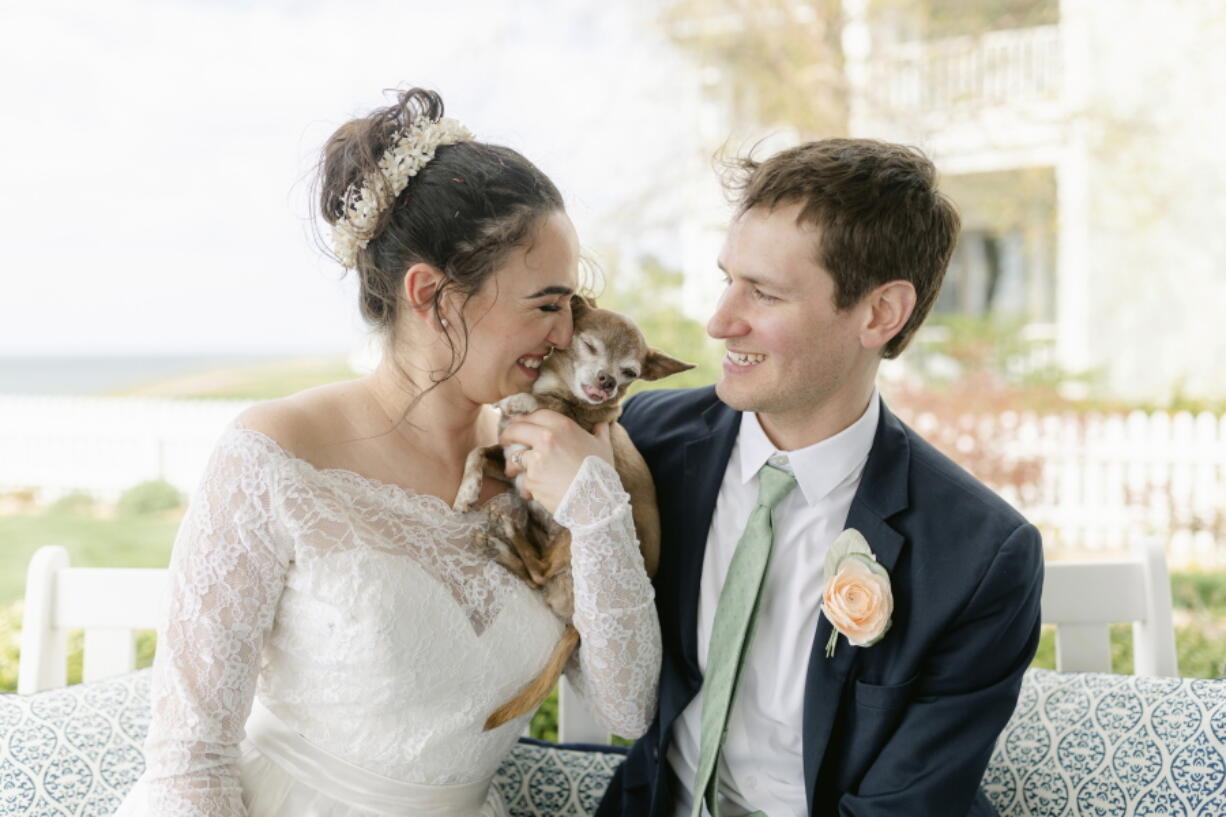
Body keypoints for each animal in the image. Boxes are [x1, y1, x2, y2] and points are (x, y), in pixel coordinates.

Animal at [456, 295, 696, 726]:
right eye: (589, 346)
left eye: (630, 372)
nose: (608, 381)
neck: (558, 389)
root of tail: (575, 623)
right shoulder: (511, 462)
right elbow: (479, 451)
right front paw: (467, 490)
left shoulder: (578, 425)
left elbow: (545, 405)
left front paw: (522, 399)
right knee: (535, 575)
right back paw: (505, 542)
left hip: (575, 526)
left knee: (541, 569)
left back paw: (509, 535)